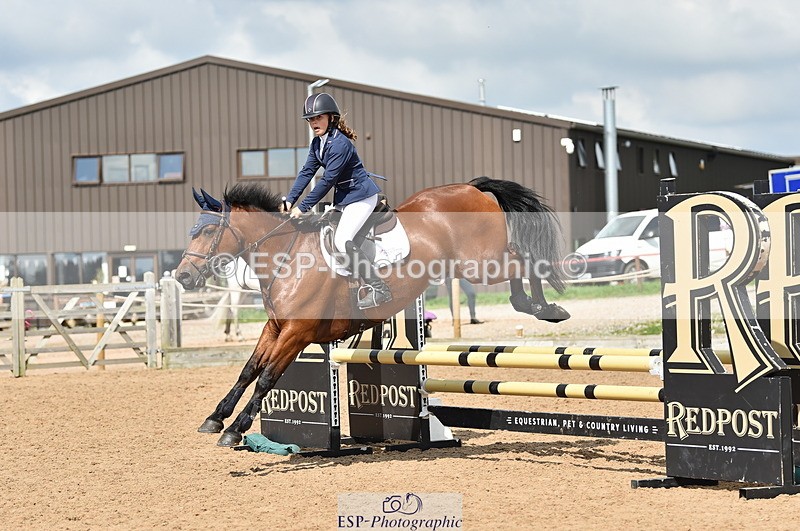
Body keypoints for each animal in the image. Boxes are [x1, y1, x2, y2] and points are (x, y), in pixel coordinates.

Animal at [176, 177, 570, 446]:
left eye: (207, 231)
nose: (182, 276)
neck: (286, 257)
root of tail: (473, 188)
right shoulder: (275, 328)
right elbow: (248, 370)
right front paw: (215, 418)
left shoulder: (296, 332)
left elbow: (267, 377)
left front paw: (235, 429)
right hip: (476, 264)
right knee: (520, 261)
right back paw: (535, 305)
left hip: (480, 264)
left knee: (525, 259)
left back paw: (545, 307)